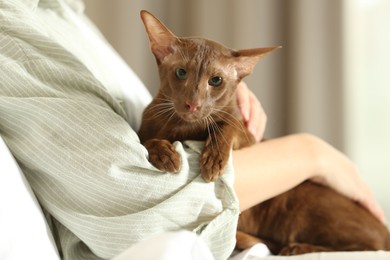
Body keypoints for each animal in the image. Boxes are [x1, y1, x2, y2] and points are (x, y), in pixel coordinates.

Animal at [138, 10, 390, 256]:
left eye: (216, 80)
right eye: (181, 73)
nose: (193, 104)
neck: (183, 127)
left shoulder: (250, 138)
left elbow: (229, 124)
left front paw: (213, 160)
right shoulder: (145, 130)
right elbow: (146, 141)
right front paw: (165, 154)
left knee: (370, 245)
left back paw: (297, 247)